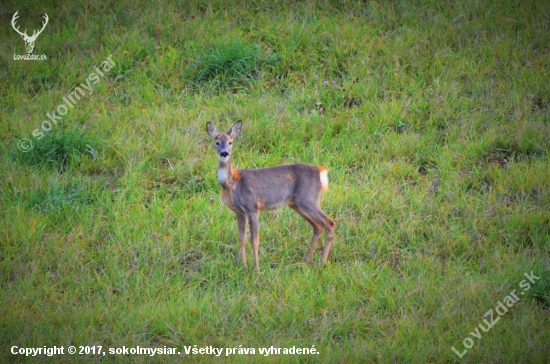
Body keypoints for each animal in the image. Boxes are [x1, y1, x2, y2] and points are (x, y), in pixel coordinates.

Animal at [207, 121, 336, 272]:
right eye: (216, 142)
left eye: (230, 142)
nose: (224, 153)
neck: (233, 183)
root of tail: (322, 172)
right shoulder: (239, 212)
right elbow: (241, 239)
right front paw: (243, 266)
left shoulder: (252, 207)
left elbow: (255, 241)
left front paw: (257, 270)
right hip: (296, 204)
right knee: (318, 226)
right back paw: (305, 261)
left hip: (308, 199)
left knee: (330, 223)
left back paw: (321, 263)